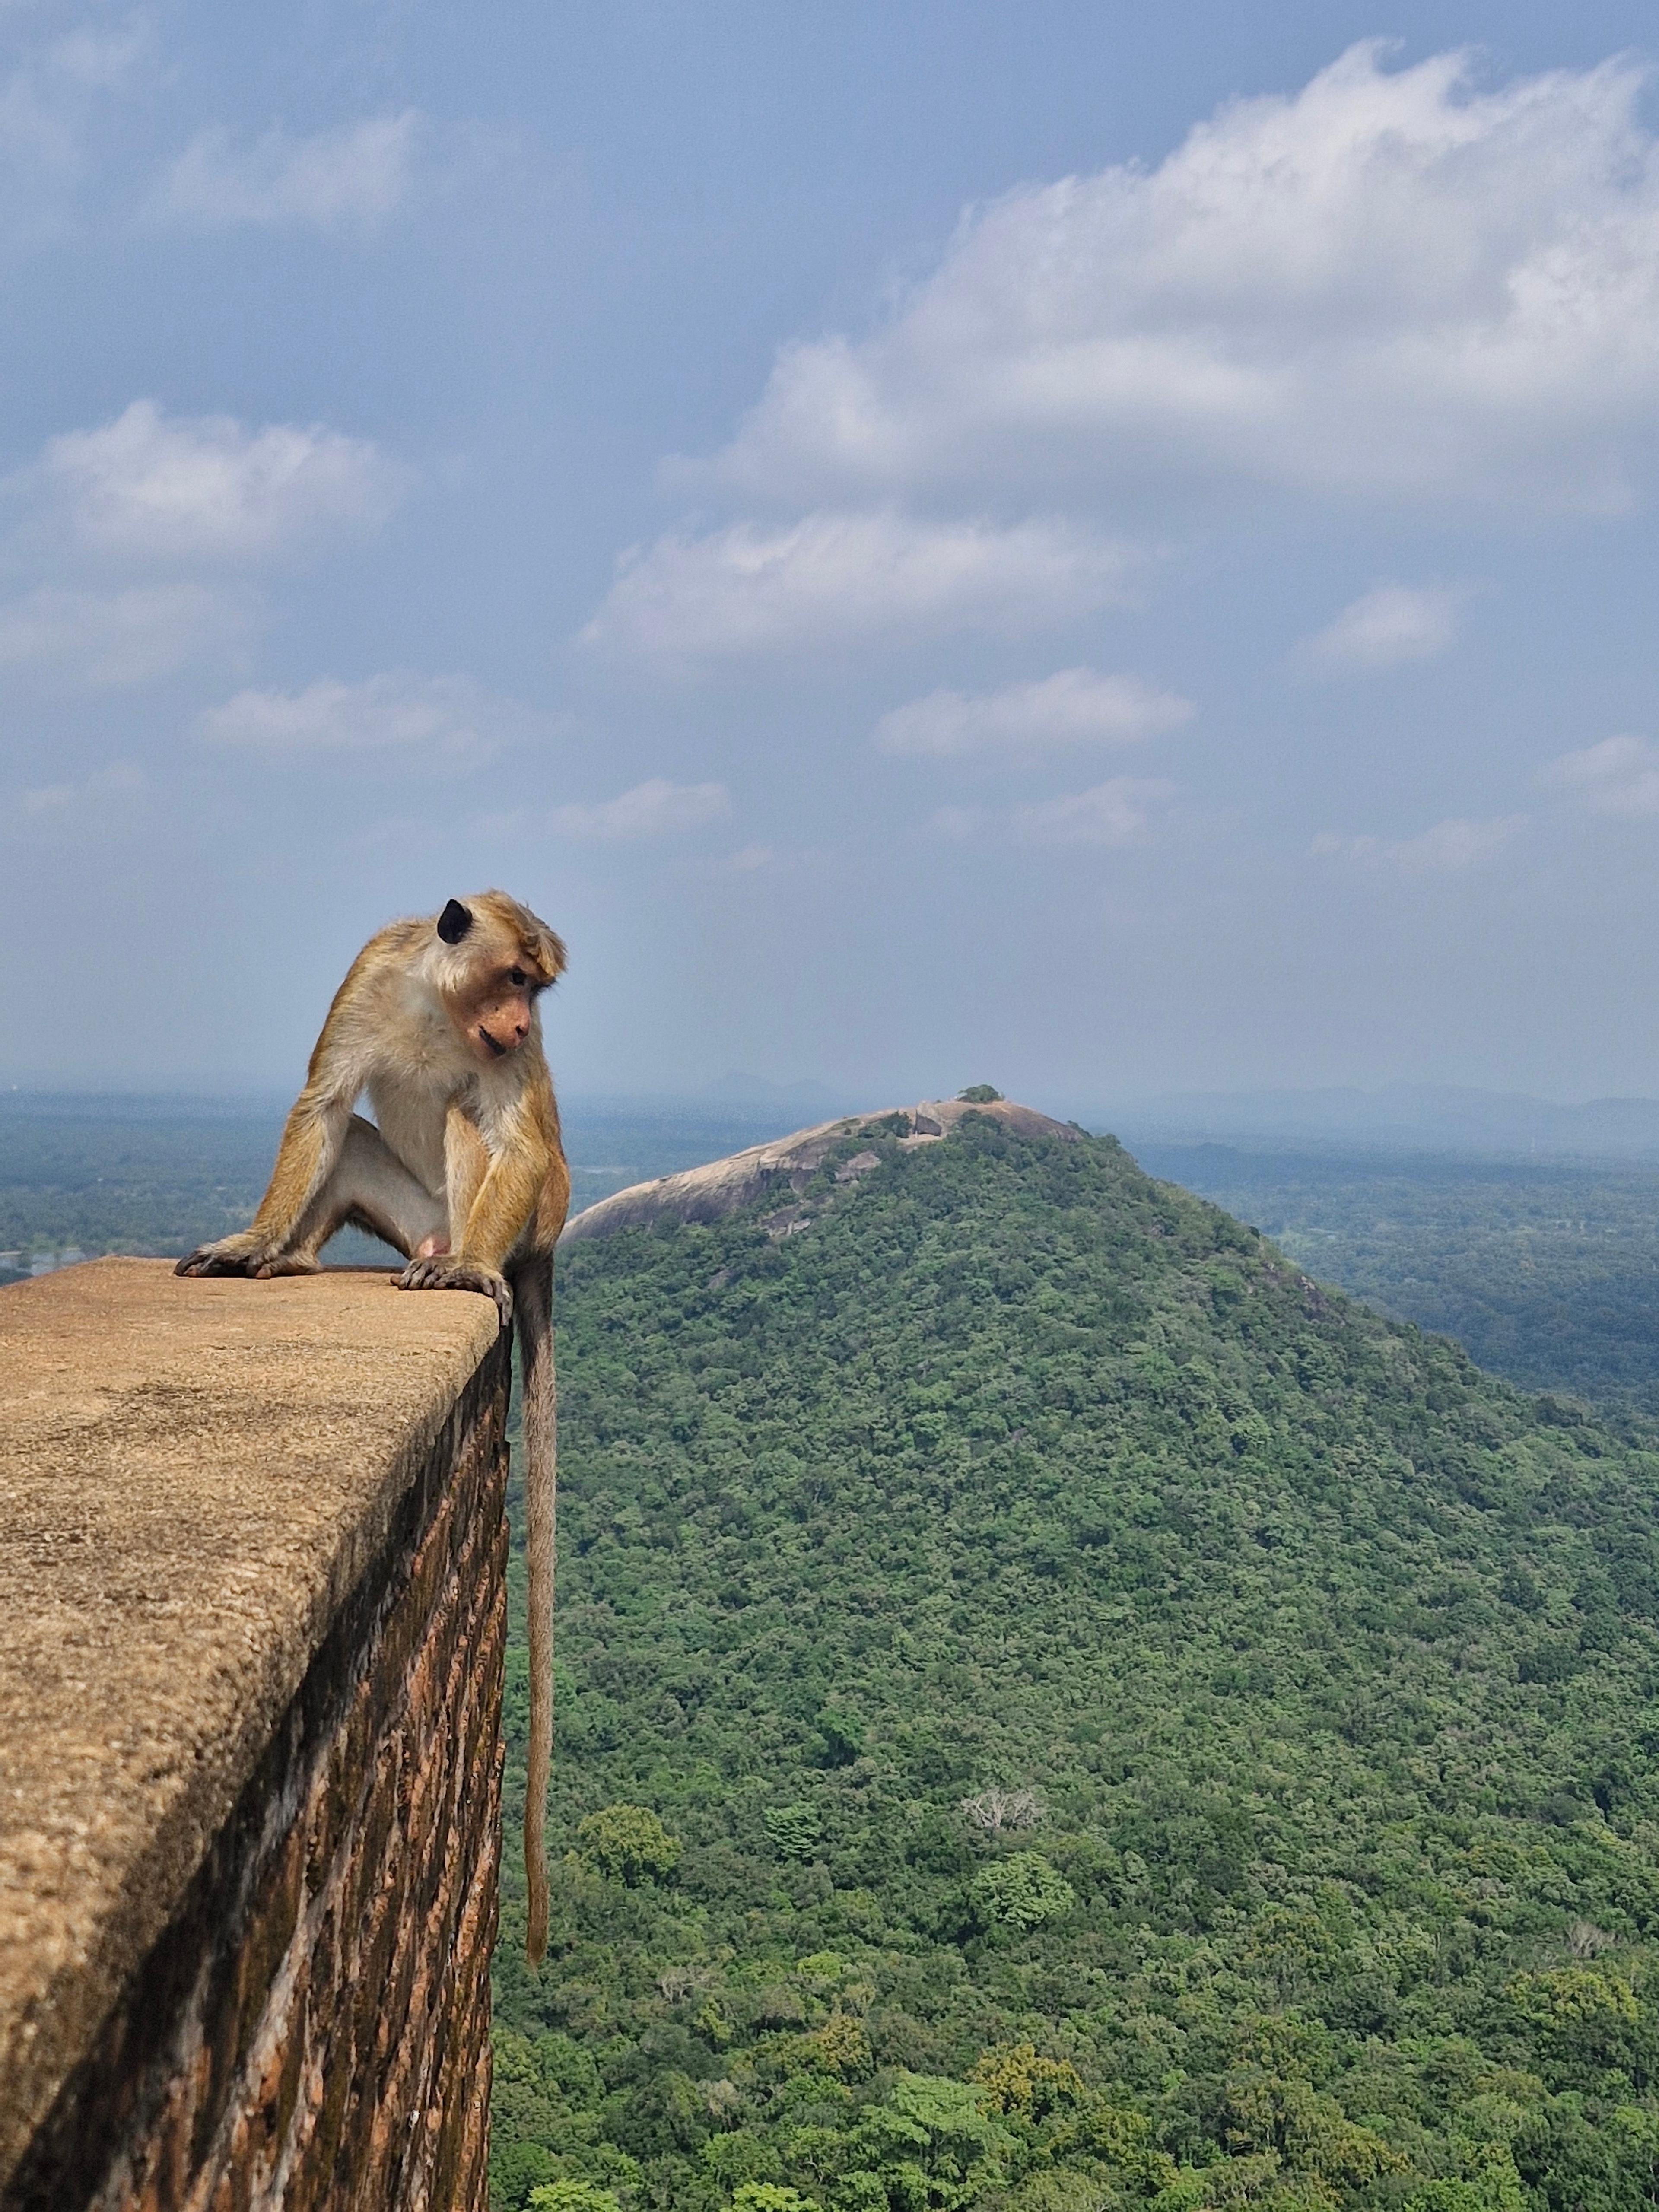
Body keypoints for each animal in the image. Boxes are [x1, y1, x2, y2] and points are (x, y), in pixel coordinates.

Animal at [176, 891, 570, 1964]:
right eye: (513, 979)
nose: (517, 1023)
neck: (442, 1007)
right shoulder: (369, 976)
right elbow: (321, 1104)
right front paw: (252, 1241)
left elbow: (520, 1140)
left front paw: (470, 1270)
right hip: (410, 1209)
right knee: (353, 1135)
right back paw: (289, 1256)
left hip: (513, 1213)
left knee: (477, 1128)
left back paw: (464, 1269)